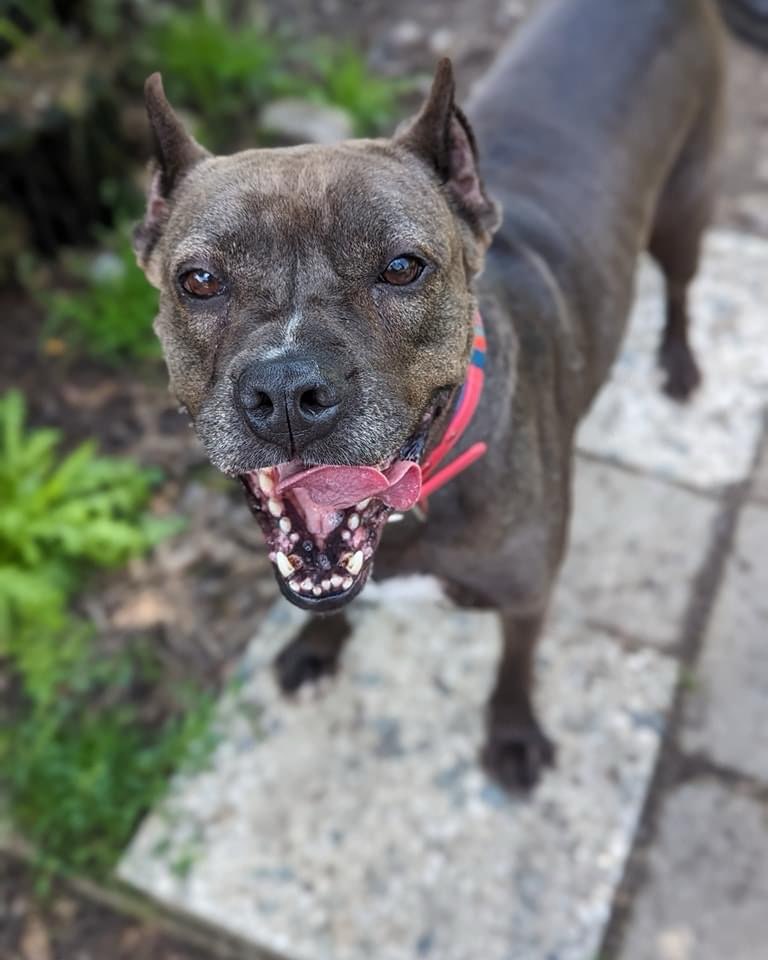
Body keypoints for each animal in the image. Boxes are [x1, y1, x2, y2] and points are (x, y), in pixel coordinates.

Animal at [135, 0, 724, 790]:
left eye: (402, 267)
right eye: (198, 281)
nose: (286, 389)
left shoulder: (528, 595)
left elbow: (515, 664)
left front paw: (513, 733)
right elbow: (328, 605)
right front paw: (317, 649)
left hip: (686, 209)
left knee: (682, 287)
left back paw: (679, 362)